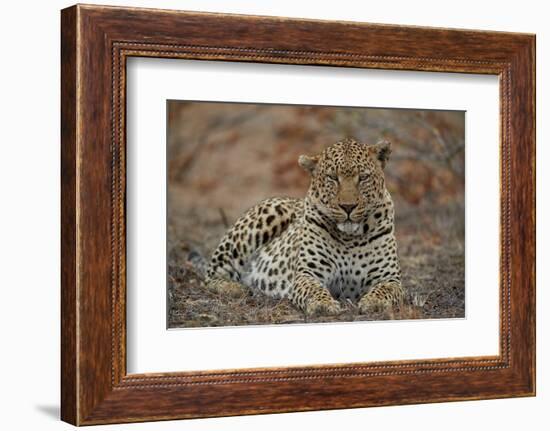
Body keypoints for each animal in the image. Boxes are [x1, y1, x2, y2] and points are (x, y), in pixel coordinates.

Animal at [206, 138, 406, 318]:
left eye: (363, 178)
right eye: (333, 178)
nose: (348, 206)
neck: (350, 238)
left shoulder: (389, 278)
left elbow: (385, 290)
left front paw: (374, 302)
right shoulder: (307, 273)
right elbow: (313, 289)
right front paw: (323, 305)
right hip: (264, 218)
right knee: (212, 274)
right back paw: (235, 288)